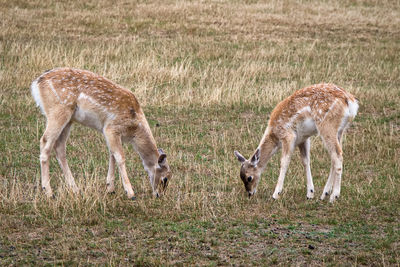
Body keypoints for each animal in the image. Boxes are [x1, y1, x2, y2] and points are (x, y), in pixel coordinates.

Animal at [29, 68, 170, 200]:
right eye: (165, 178)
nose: (159, 195)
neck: (133, 129)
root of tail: (36, 83)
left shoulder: (111, 133)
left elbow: (112, 154)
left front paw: (110, 188)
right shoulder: (111, 128)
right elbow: (120, 157)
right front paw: (130, 193)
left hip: (69, 119)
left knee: (59, 147)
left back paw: (75, 189)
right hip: (58, 111)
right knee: (45, 141)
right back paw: (48, 192)